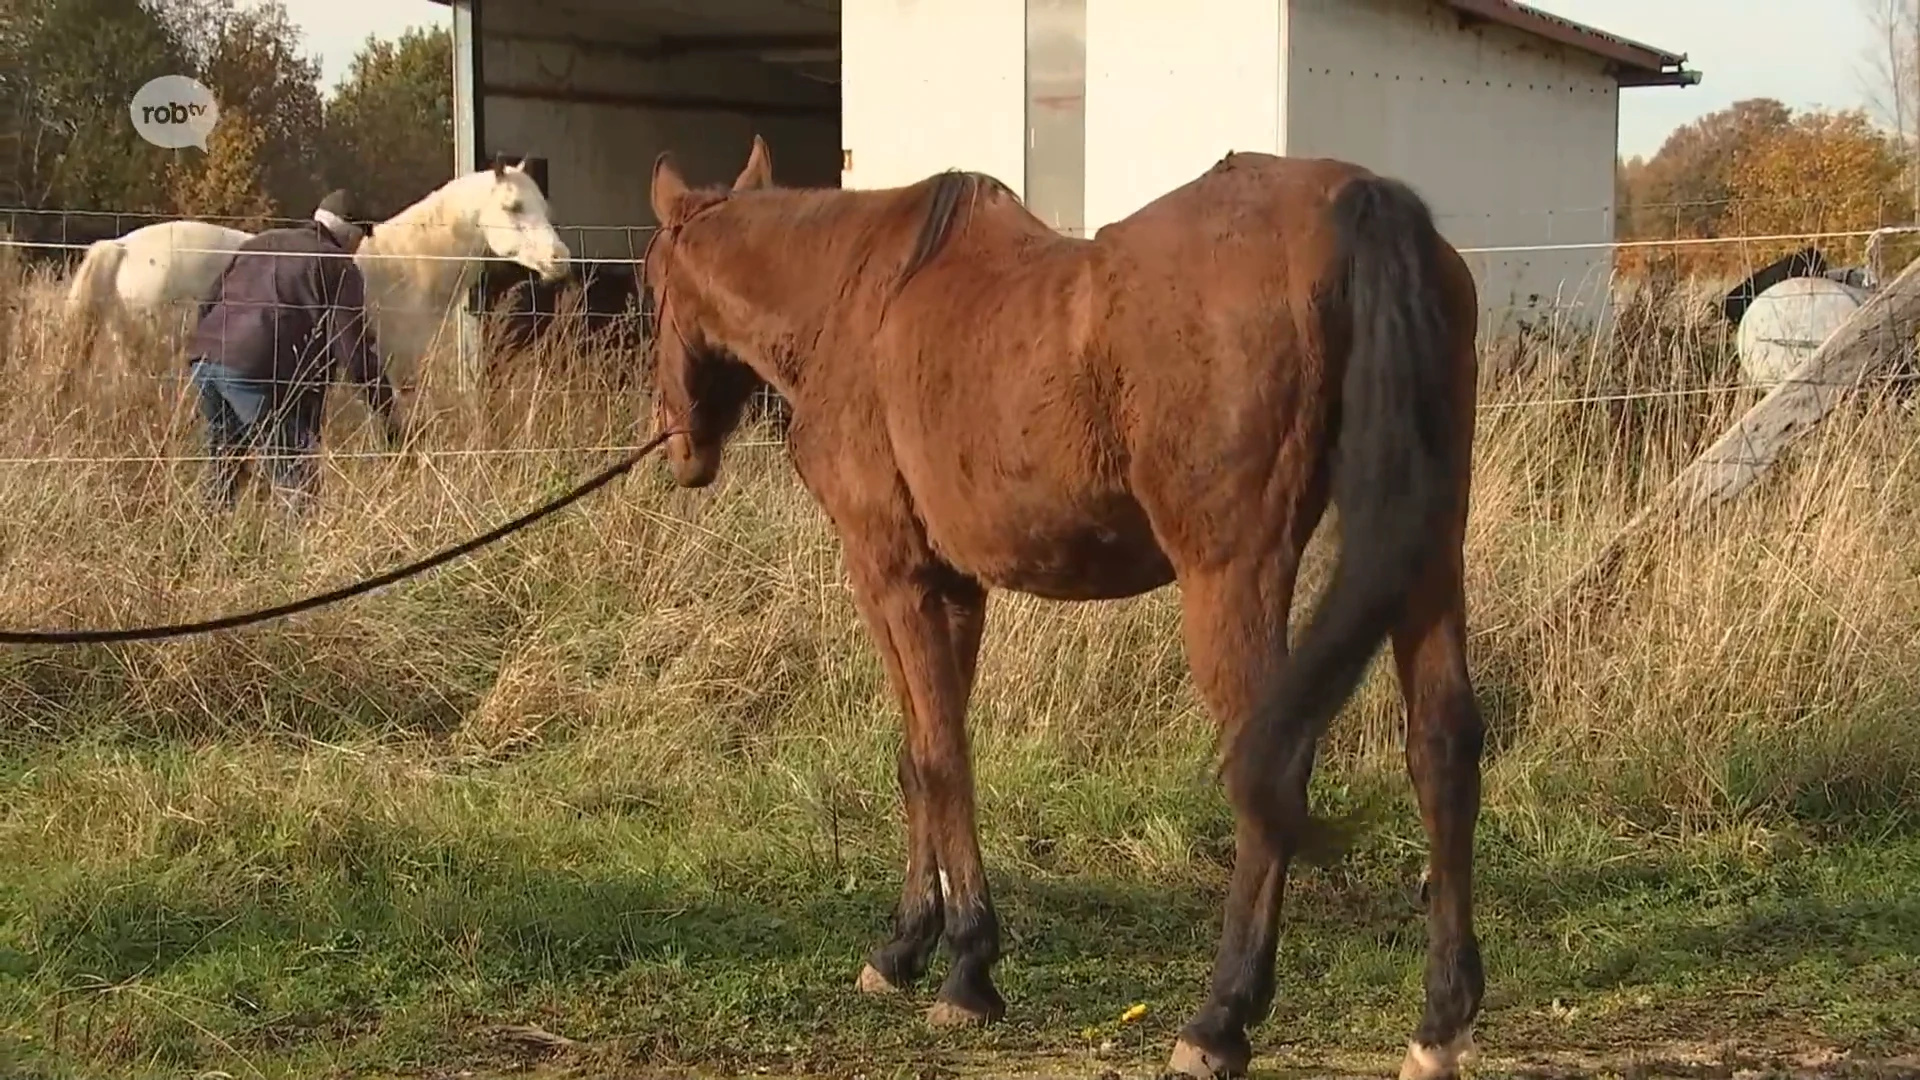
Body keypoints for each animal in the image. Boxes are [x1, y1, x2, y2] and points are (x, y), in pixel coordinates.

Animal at [640, 134, 1485, 1080]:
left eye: (650, 285)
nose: (678, 444)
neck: (854, 298)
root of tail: (1360, 202)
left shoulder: (889, 573)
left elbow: (939, 759)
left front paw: (967, 968)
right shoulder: (955, 589)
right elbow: (920, 758)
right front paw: (905, 947)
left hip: (1232, 577)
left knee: (1274, 765)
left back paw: (1220, 1018)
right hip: (1426, 557)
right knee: (1442, 750)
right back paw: (1440, 1022)